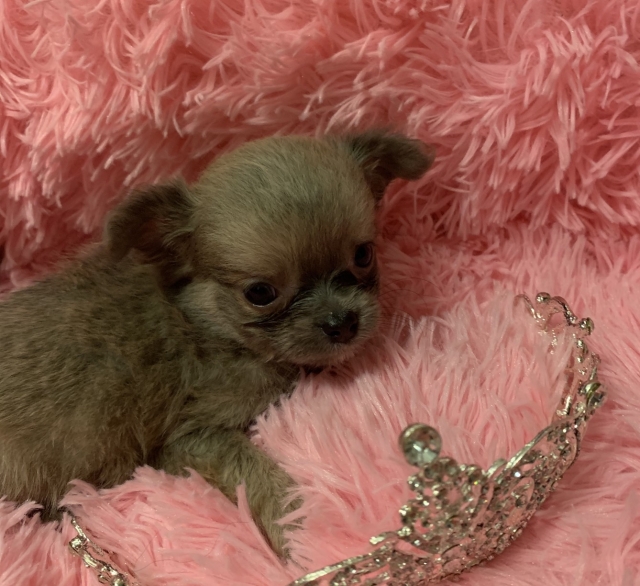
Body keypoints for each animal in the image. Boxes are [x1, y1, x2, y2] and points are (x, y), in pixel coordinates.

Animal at [0, 131, 434, 555]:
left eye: (363, 255)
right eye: (260, 293)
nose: (342, 323)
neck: (206, 322)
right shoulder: (192, 438)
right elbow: (254, 473)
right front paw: (297, 527)